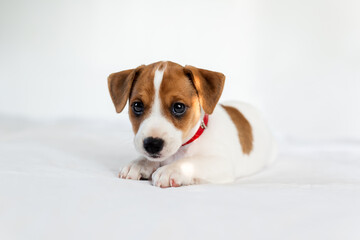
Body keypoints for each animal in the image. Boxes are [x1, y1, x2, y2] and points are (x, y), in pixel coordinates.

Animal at [108, 60, 278, 188]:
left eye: (178, 107)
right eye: (137, 106)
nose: (152, 144)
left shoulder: (221, 164)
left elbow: (191, 162)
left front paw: (170, 169)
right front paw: (138, 163)